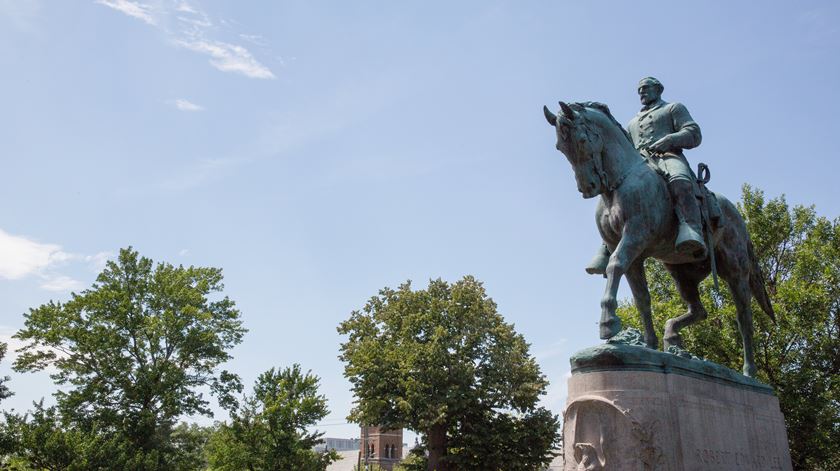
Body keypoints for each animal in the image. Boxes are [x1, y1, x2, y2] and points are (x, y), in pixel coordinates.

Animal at [544, 101, 776, 378]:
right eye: (560, 147)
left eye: (580, 139)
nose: (587, 187)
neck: (620, 183)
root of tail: (739, 218)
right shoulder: (627, 251)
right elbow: (641, 298)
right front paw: (649, 344)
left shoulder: (635, 236)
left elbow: (614, 266)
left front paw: (608, 323)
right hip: (682, 272)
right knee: (699, 310)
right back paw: (672, 336)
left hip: (736, 273)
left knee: (744, 319)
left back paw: (749, 372)